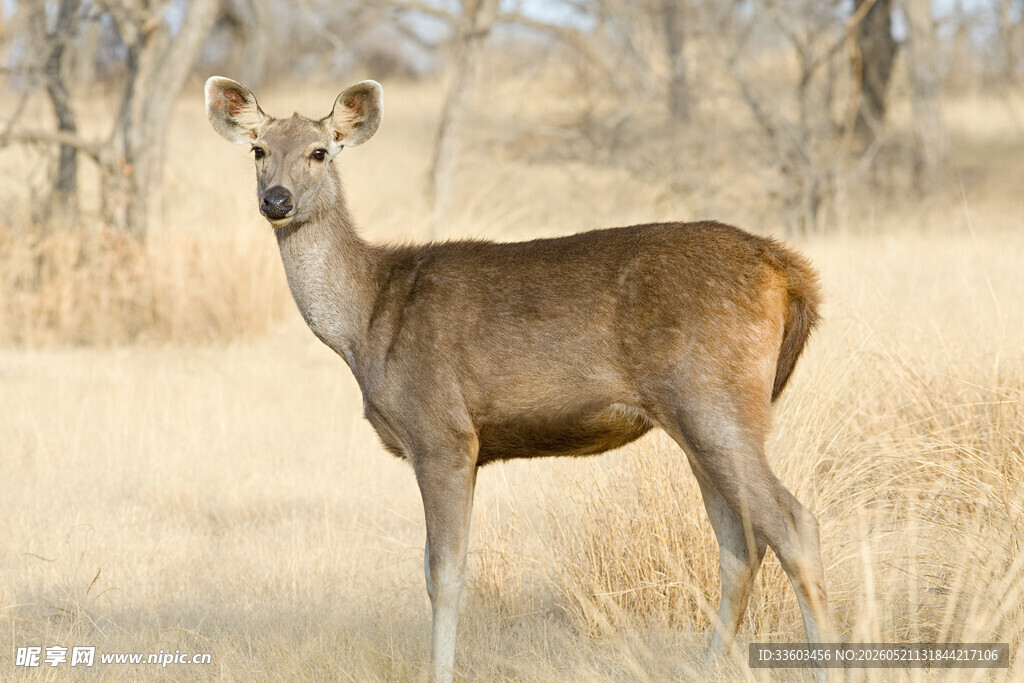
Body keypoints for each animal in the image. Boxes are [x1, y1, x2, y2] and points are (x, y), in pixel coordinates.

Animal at [205, 76, 831, 682]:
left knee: (792, 525)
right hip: (700, 417)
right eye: (259, 150)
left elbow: (444, 573)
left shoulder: (442, 432)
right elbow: (434, 569)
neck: (367, 321)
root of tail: (790, 272)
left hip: (713, 399)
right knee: (739, 544)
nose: (276, 200)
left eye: (319, 151)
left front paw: (441, 672)